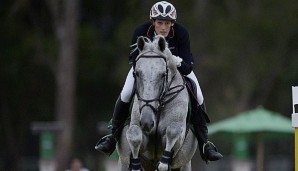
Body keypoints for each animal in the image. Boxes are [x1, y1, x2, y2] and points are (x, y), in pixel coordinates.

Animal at [116, 35, 198, 170]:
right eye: (137, 73)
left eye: (163, 75)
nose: (147, 122)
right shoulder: (139, 131)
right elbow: (134, 135)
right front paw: (136, 165)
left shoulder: (178, 134)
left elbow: (172, 131)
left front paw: (164, 163)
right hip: (123, 162)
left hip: (185, 163)